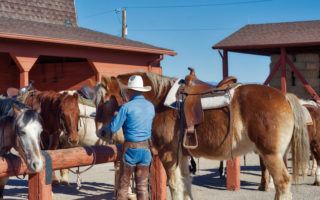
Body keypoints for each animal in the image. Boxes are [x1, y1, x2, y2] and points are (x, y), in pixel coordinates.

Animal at [95, 70, 310, 200]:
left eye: (106, 99)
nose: (101, 131)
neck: (159, 100)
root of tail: (285, 97)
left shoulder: (168, 154)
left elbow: (175, 186)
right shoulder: (181, 156)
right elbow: (185, 184)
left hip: (271, 154)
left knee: (283, 183)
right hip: (278, 155)